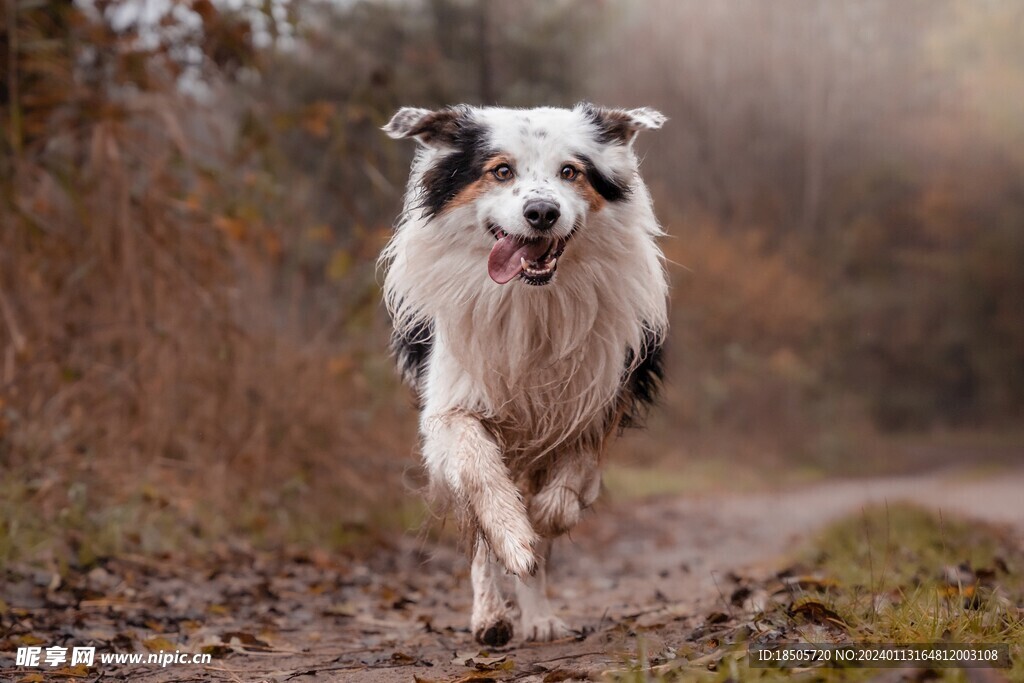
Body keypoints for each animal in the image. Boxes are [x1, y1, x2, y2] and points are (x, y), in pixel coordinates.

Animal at [380, 102, 667, 647]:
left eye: (570, 172)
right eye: (501, 172)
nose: (541, 213)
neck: (531, 301)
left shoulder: (596, 400)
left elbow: (564, 495)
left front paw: (538, 528)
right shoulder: (450, 409)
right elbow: (482, 480)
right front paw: (513, 538)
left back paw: (537, 617)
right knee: (478, 529)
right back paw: (491, 616)